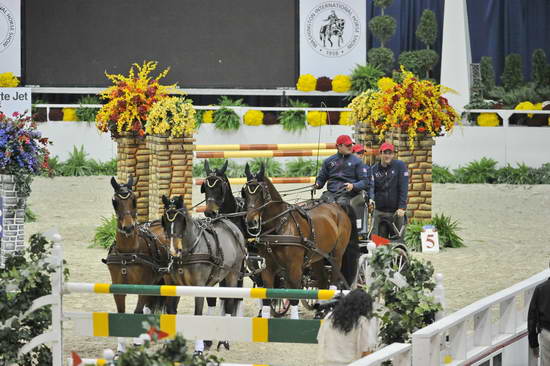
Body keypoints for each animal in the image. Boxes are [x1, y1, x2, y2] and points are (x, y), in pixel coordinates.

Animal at [102, 177, 174, 352]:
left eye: (134, 200)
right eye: (115, 201)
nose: (128, 227)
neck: (128, 252)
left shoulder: (143, 285)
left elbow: (137, 311)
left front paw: (136, 341)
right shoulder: (118, 289)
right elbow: (121, 315)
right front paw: (120, 350)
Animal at [160, 196, 246, 354]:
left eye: (181, 220)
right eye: (165, 220)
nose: (173, 250)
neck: (189, 251)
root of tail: (232, 226)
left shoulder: (198, 285)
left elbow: (198, 313)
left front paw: (197, 349)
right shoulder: (174, 285)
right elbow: (171, 311)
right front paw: (170, 345)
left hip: (232, 273)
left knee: (230, 302)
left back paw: (223, 341)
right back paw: (209, 341)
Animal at [244, 164, 360, 318]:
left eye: (261, 193)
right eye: (245, 192)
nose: (251, 221)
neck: (279, 226)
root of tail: (337, 207)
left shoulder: (294, 267)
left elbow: (294, 296)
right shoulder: (267, 268)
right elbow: (267, 298)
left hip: (336, 255)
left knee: (334, 281)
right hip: (317, 257)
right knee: (322, 281)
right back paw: (320, 311)